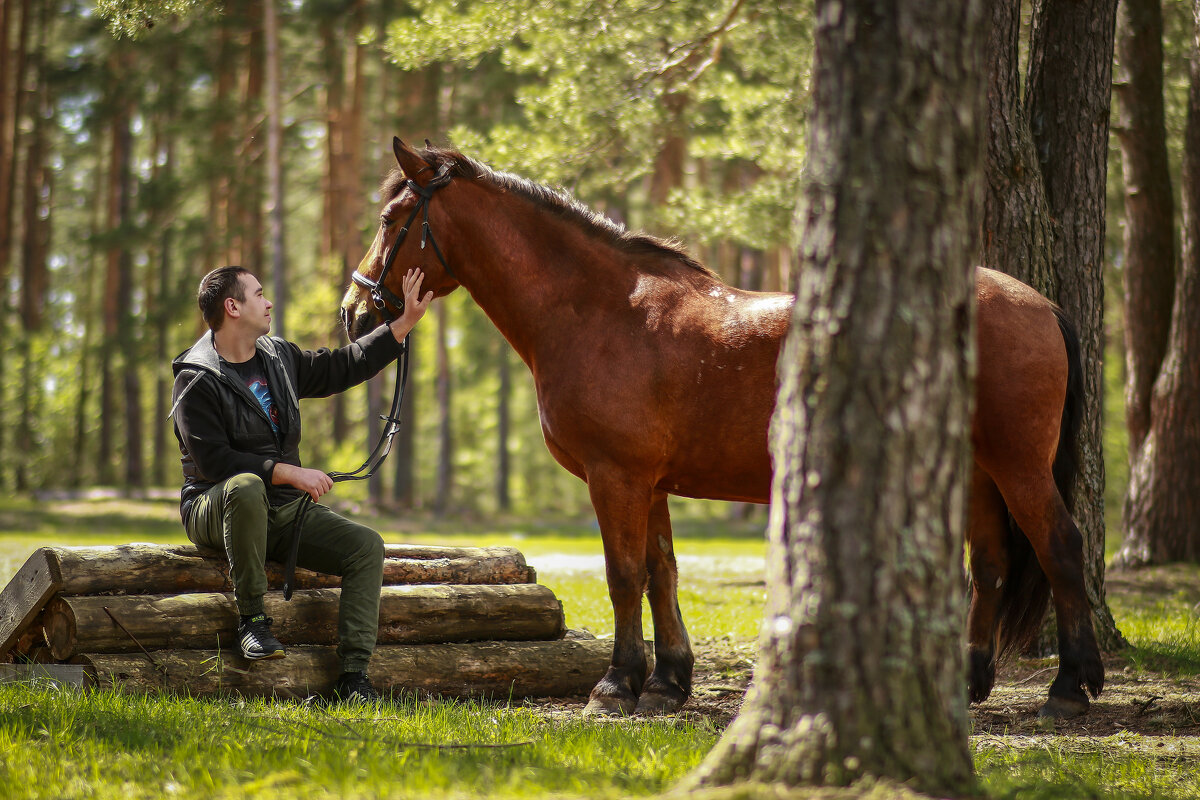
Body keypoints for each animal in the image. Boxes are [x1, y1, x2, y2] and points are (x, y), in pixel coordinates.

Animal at [340, 139, 1104, 719]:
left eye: (390, 217)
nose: (354, 311)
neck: (597, 309)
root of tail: (1039, 304)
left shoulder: (616, 477)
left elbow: (624, 575)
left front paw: (614, 687)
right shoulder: (649, 484)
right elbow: (662, 575)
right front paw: (666, 684)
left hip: (1018, 465)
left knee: (1061, 548)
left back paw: (1069, 690)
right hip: (977, 470)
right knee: (994, 565)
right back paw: (968, 682)